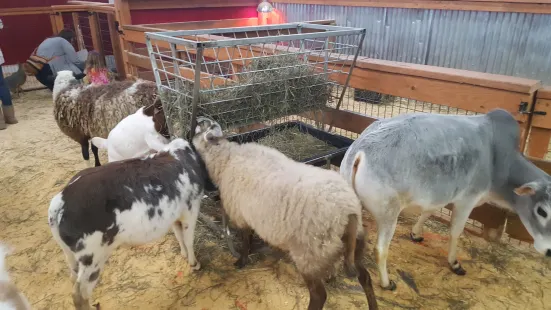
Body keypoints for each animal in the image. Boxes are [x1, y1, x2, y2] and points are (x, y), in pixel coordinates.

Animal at [47, 139, 210, 310]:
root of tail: (58, 204)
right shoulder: (191, 208)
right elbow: (189, 239)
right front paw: (194, 263)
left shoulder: (174, 214)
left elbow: (179, 236)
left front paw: (184, 255)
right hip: (92, 257)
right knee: (79, 294)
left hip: (71, 254)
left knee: (72, 277)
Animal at [192, 117, 378, 310]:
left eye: (201, 127)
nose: (197, 119)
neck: (226, 158)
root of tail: (348, 211)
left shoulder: (241, 215)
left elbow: (245, 239)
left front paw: (242, 261)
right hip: (354, 245)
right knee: (365, 277)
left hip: (310, 254)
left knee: (319, 295)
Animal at [340, 109, 551, 290]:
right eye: (542, 211)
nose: (549, 251)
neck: (499, 160)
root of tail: (360, 151)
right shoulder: (467, 199)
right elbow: (455, 232)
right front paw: (454, 263)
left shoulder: (440, 193)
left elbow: (429, 211)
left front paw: (416, 233)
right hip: (389, 212)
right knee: (380, 249)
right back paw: (386, 282)